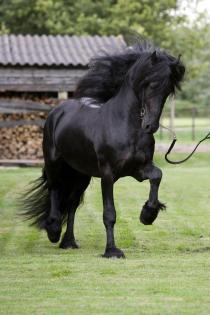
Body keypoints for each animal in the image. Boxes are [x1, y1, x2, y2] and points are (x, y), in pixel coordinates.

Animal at [21, 40, 185, 258]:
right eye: (151, 84)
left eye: (168, 90)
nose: (150, 126)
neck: (124, 124)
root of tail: (56, 113)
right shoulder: (108, 175)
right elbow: (109, 214)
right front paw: (112, 251)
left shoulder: (138, 170)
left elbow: (157, 176)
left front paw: (148, 214)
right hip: (55, 164)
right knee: (55, 190)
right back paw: (54, 231)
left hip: (81, 175)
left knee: (72, 204)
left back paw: (69, 242)